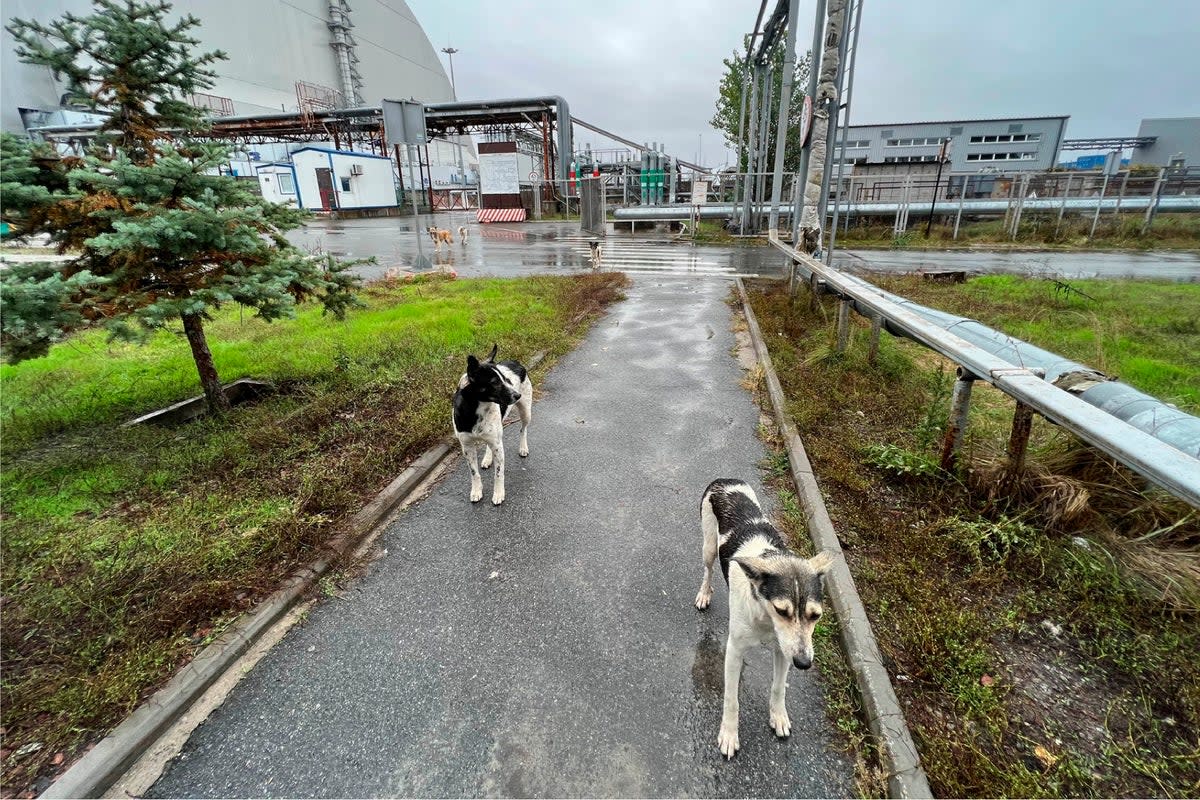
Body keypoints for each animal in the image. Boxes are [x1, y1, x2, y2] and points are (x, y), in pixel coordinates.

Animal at [451, 345, 532, 506]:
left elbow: (499, 473)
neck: (475, 408)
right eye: (494, 382)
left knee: (523, 429)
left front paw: (498, 493)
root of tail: (516, 362)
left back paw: (523, 448)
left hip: (526, 412)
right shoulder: (467, 447)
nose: (517, 395)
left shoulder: (497, 445)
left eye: (506, 380)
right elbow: (474, 473)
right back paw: (488, 459)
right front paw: (476, 490)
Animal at [696, 479, 835, 762]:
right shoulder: (734, 650)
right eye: (782, 610)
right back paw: (704, 593)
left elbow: (779, 687)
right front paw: (729, 734)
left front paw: (778, 716)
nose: (804, 663)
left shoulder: (784, 651)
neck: (765, 617)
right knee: (708, 570)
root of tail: (724, 480)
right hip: (708, 546)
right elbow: (731, 699)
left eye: (815, 615)